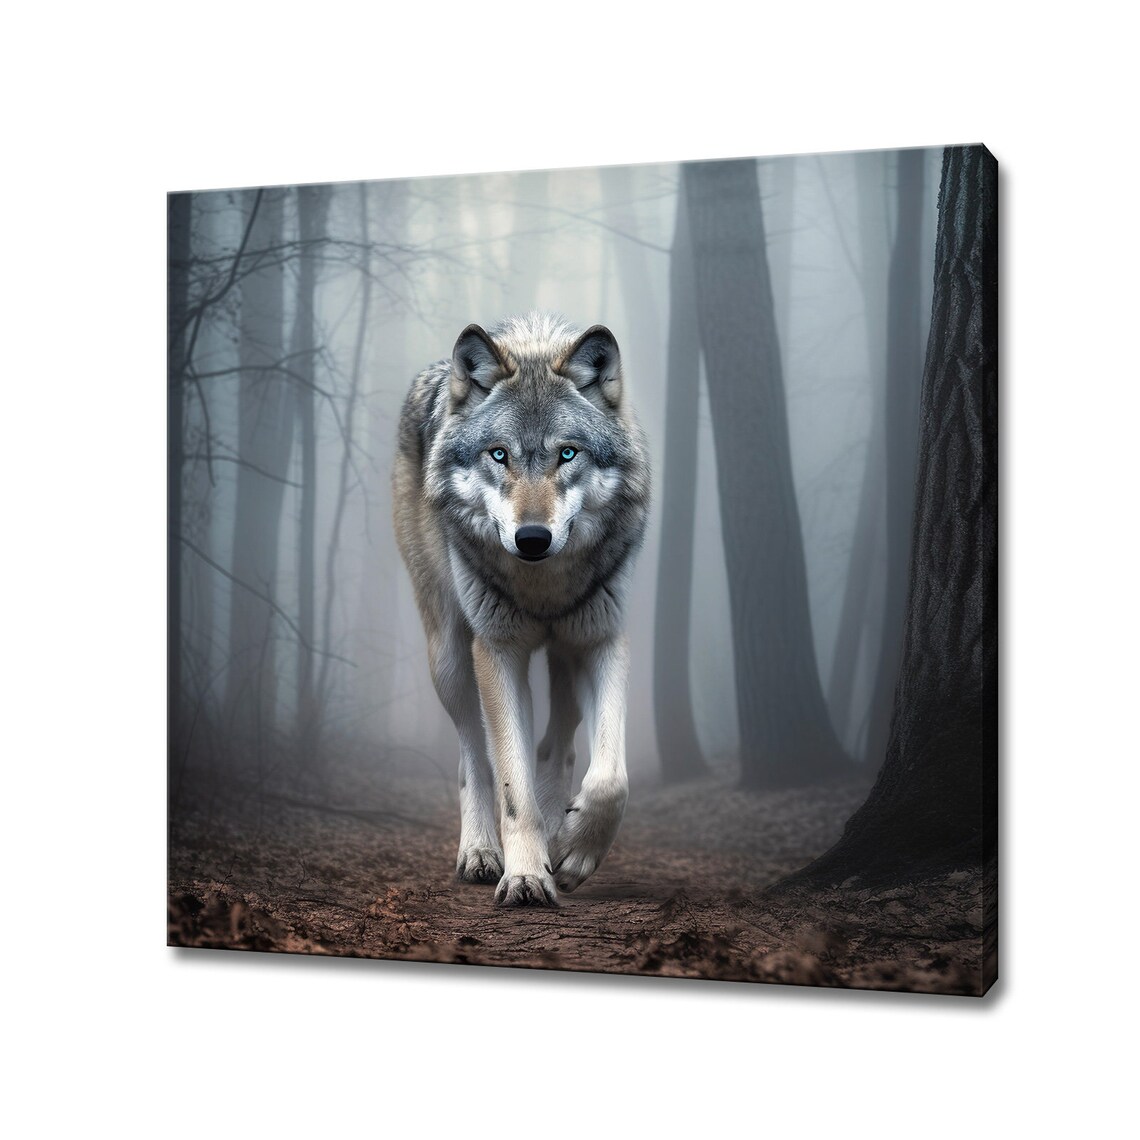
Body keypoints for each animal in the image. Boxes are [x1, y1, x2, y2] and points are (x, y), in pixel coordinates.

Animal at [392, 312, 650, 906]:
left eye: (568, 453)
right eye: (499, 454)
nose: (532, 538)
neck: (543, 587)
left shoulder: (602, 639)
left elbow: (611, 778)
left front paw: (575, 848)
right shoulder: (498, 649)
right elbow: (513, 786)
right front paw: (527, 875)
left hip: (565, 651)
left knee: (557, 743)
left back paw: (559, 822)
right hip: (450, 657)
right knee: (474, 759)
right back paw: (481, 851)